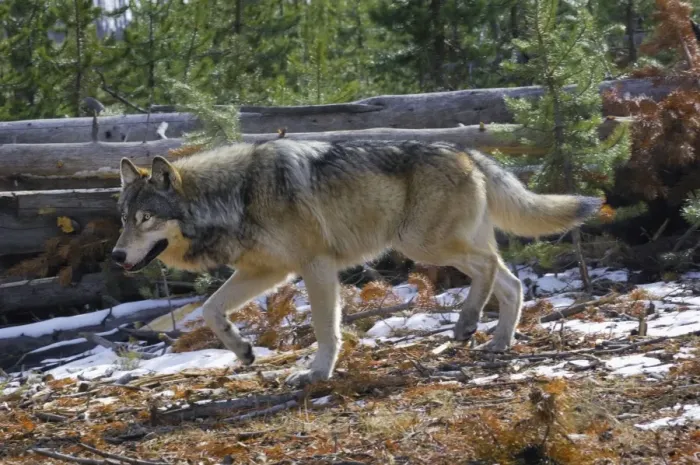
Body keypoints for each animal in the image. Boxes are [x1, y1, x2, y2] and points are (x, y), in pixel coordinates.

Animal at [112, 139, 601, 386]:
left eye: (145, 218)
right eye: (123, 218)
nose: (116, 255)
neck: (236, 195)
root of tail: (466, 151)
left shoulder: (315, 266)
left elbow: (326, 329)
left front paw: (316, 372)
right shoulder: (266, 271)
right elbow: (212, 310)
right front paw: (243, 350)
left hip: (421, 244)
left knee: (490, 271)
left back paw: (467, 324)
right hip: (440, 245)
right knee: (511, 282)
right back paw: (495, 341)